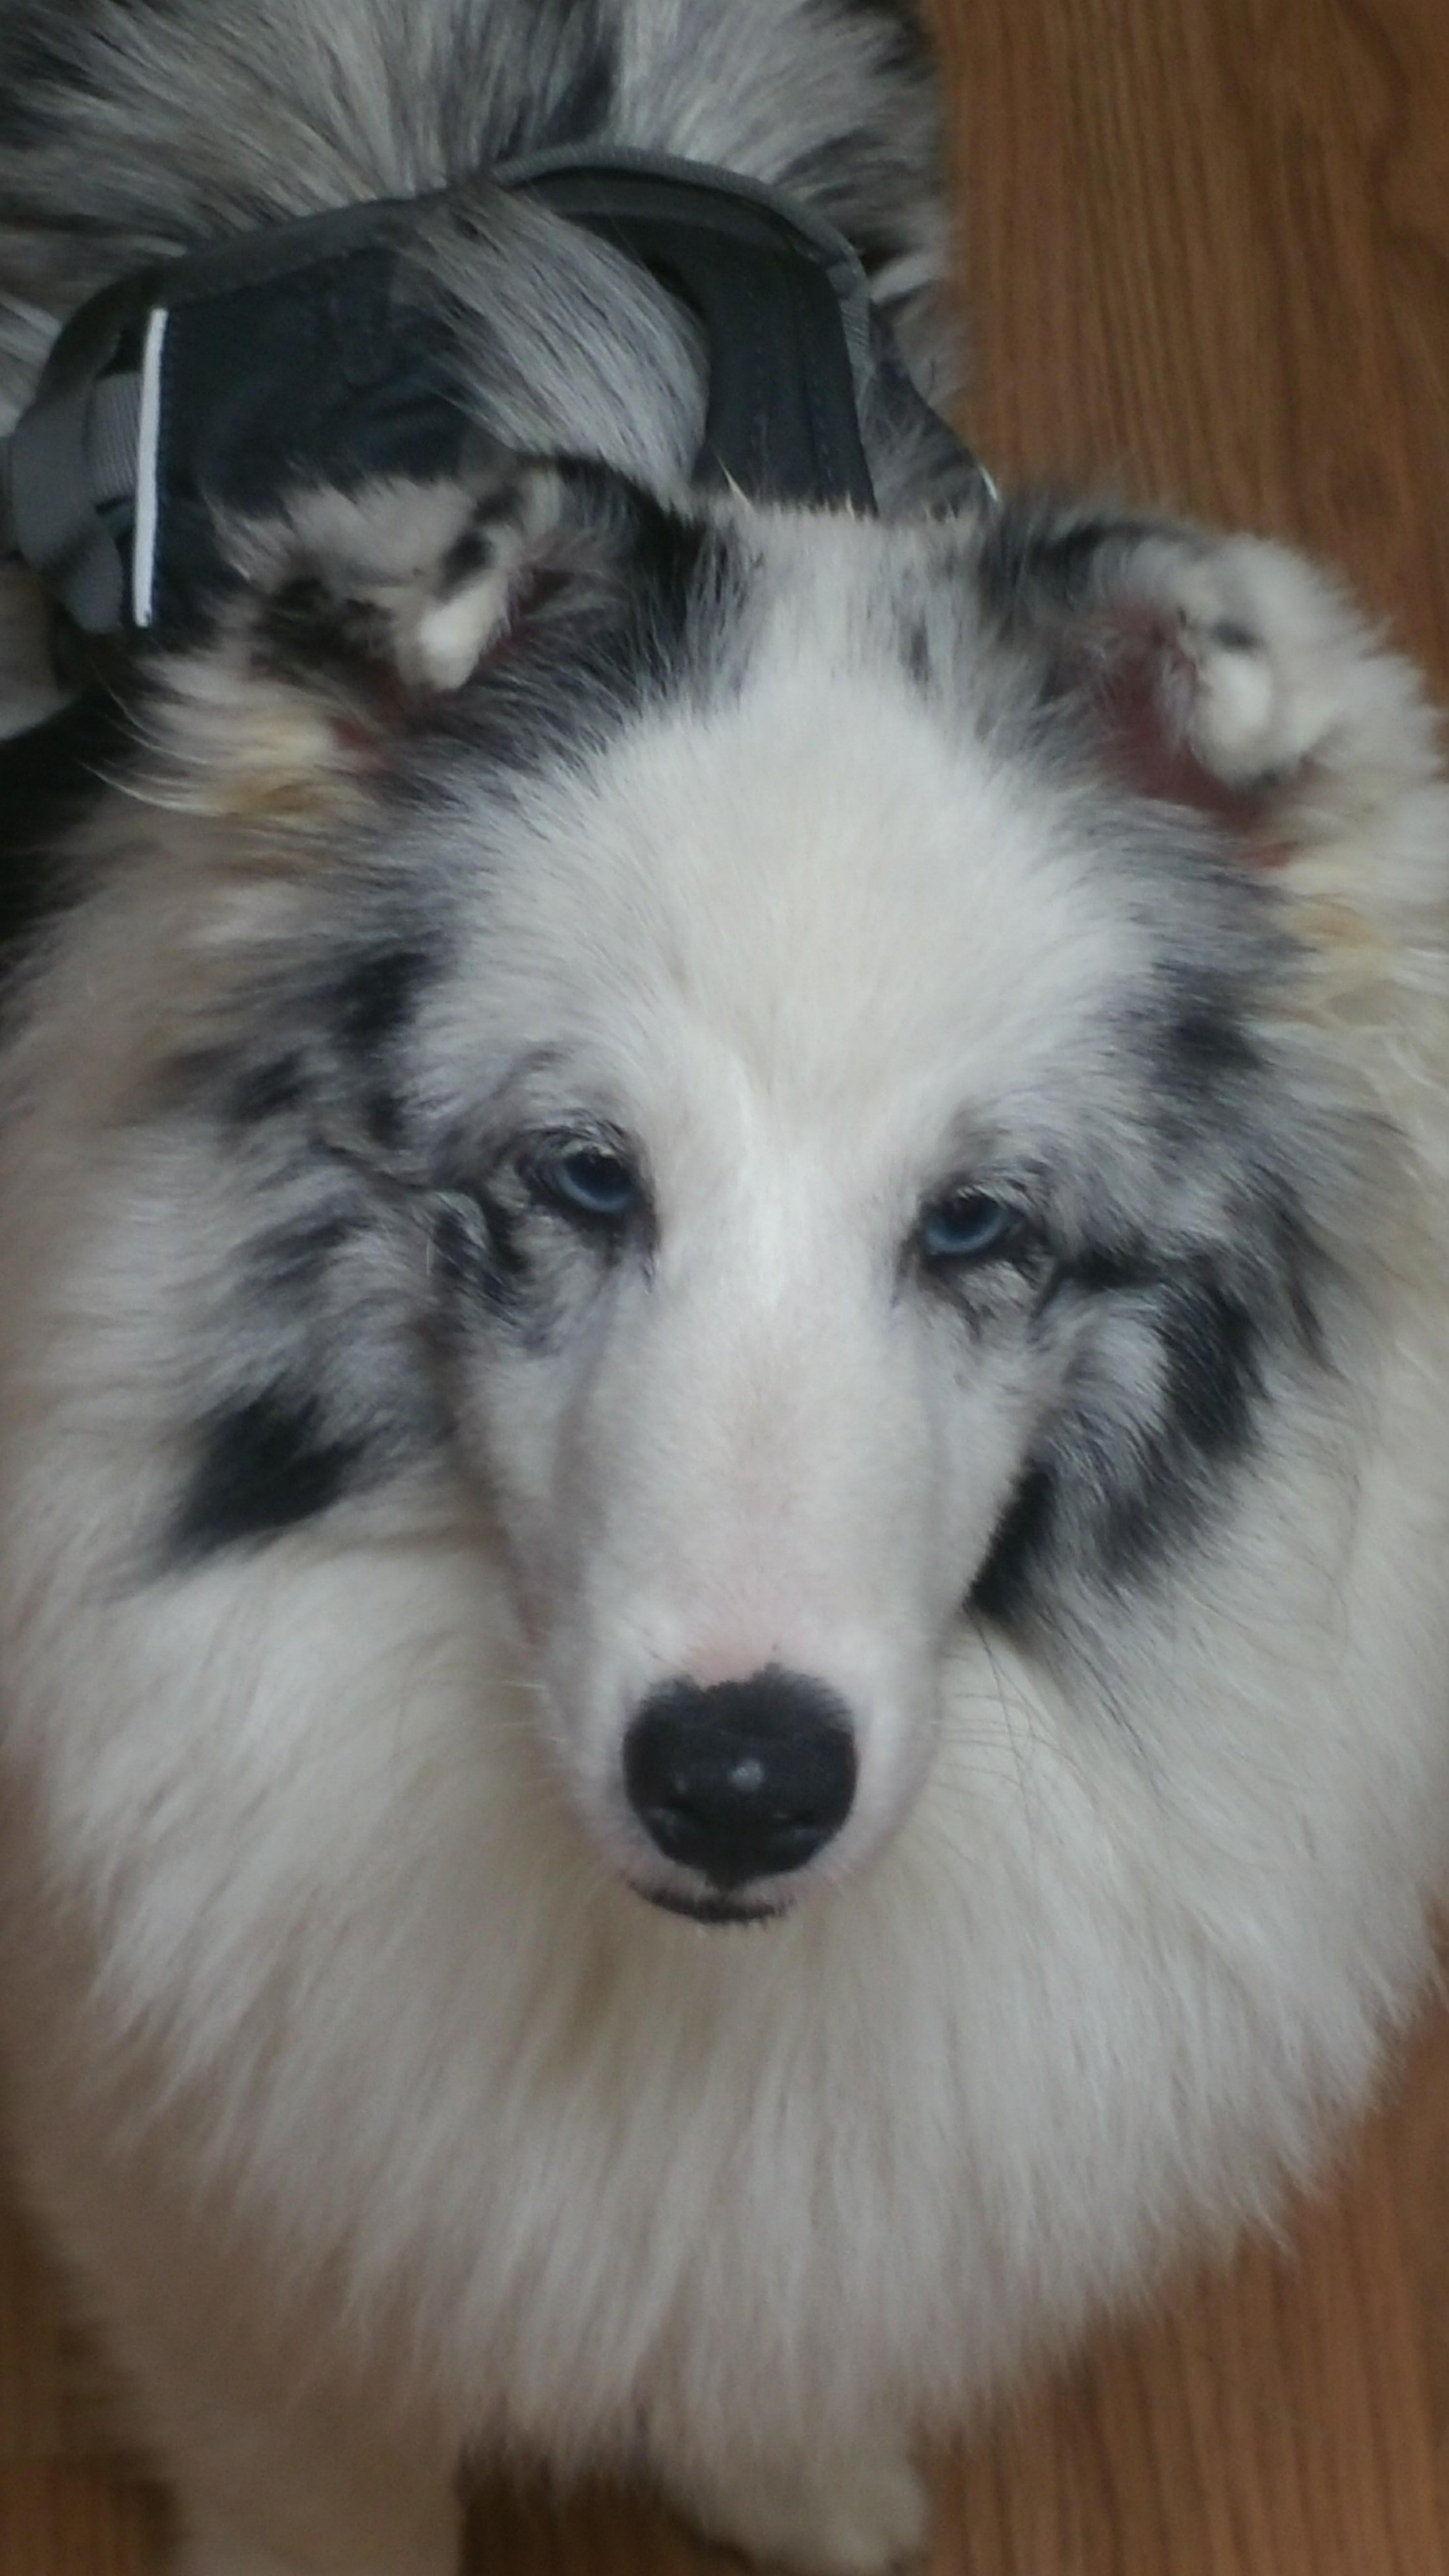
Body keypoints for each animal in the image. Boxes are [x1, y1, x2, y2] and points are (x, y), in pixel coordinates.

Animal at [0, 4, 1447, 2573]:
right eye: (579, 1176)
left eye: (979, 1225)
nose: (743, 1782)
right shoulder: (188, 2201)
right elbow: (317, 2478)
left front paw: (805, 2480)